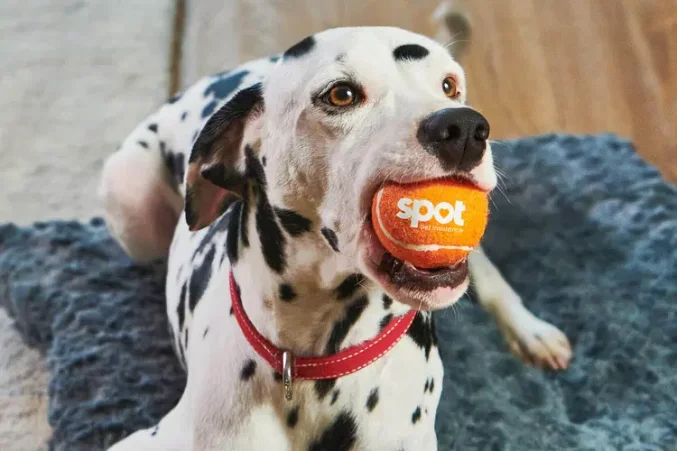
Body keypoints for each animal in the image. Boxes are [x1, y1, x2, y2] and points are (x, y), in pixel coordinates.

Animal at [99, 27, 572, 451]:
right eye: (341, 94)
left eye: (449, 85)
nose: (464, 127)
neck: (313, 368)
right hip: (129, 201)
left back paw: (531, 331)